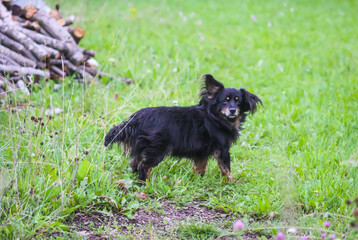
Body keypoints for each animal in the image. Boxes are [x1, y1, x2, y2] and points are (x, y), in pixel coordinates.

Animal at [103, 74, 260, 183]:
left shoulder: (201, 152)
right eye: (225, 101)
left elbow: (200, 167)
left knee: (135, 164)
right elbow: (226, 168)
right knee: (144, 166)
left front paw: (198, 180)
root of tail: (137, 118)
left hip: (143, 148)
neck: (216, 117)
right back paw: (145, 183)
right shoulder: (222, 150)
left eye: (238, 101)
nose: (233, 110)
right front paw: (233, 182)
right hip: (156, 150)